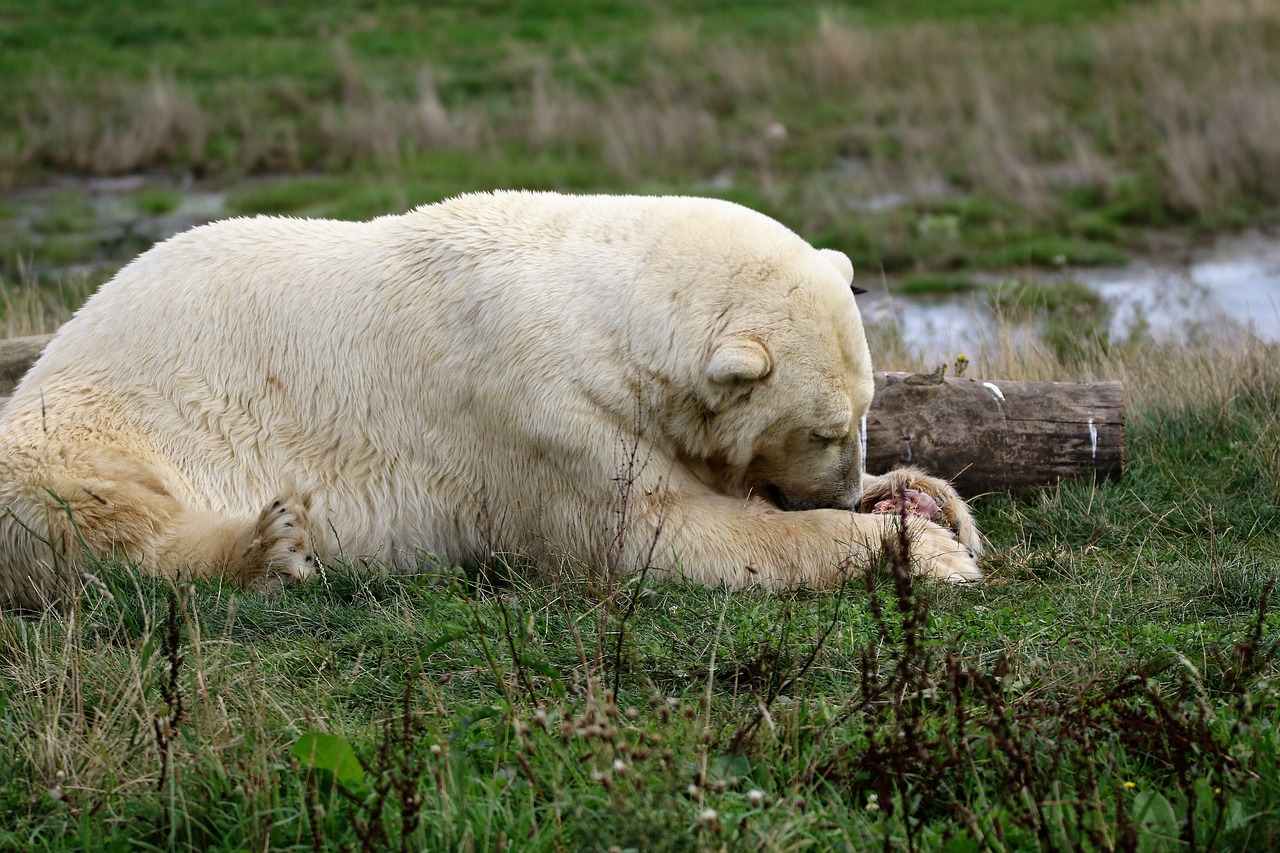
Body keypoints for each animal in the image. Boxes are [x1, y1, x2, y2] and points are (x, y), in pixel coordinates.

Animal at [0, 189, 983, 607]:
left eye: (866, 414)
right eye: (823, 430)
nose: (842, 489)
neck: (600, 301)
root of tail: (58, 348)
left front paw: (926, 500)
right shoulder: (535, 405)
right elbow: (656, 536)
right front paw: (924, 552)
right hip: (89, 421)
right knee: (90, 512)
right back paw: (268, 547)